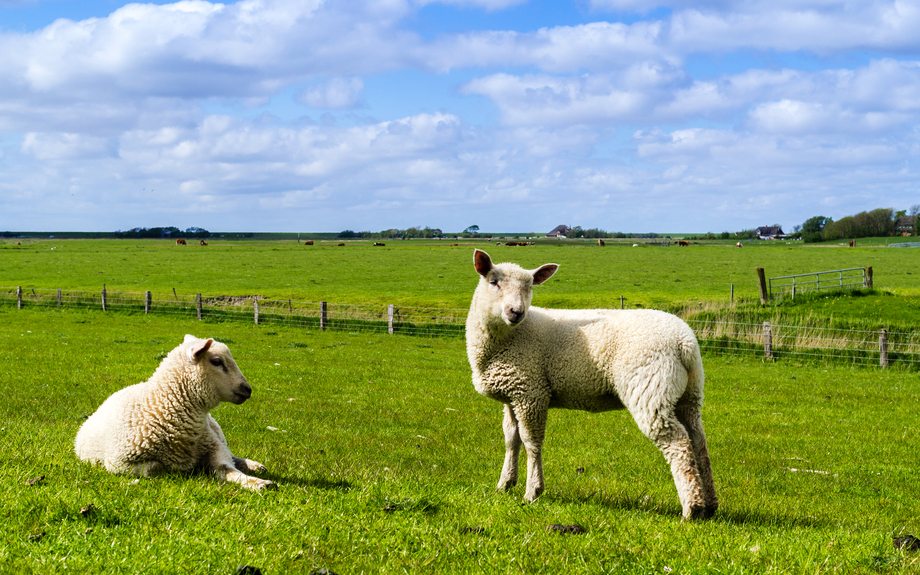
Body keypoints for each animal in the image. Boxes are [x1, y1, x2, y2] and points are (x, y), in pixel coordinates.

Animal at [74, 332, 276, 490]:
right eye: (217, 361)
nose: (247, 389)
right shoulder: (118, 463)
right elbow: (155, 468)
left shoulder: (213, 446)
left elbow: (227, 468)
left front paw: (259, 483)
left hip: (216, 431)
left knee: (232, 455)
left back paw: (254, 466)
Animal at [468, 250, 720, 520]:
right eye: (494, 282)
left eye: (529, 286)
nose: (516, 312)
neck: (508, 338)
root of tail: (685, 344)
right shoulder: (512, 395)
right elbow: (511, 439)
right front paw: (505, 484)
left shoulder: (530, 393)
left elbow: (531, 442)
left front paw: (532, 491)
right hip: (688, 395)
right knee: (698, 441)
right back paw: (709, 505)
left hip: (651, 392)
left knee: (679, 444)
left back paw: (691, 509)